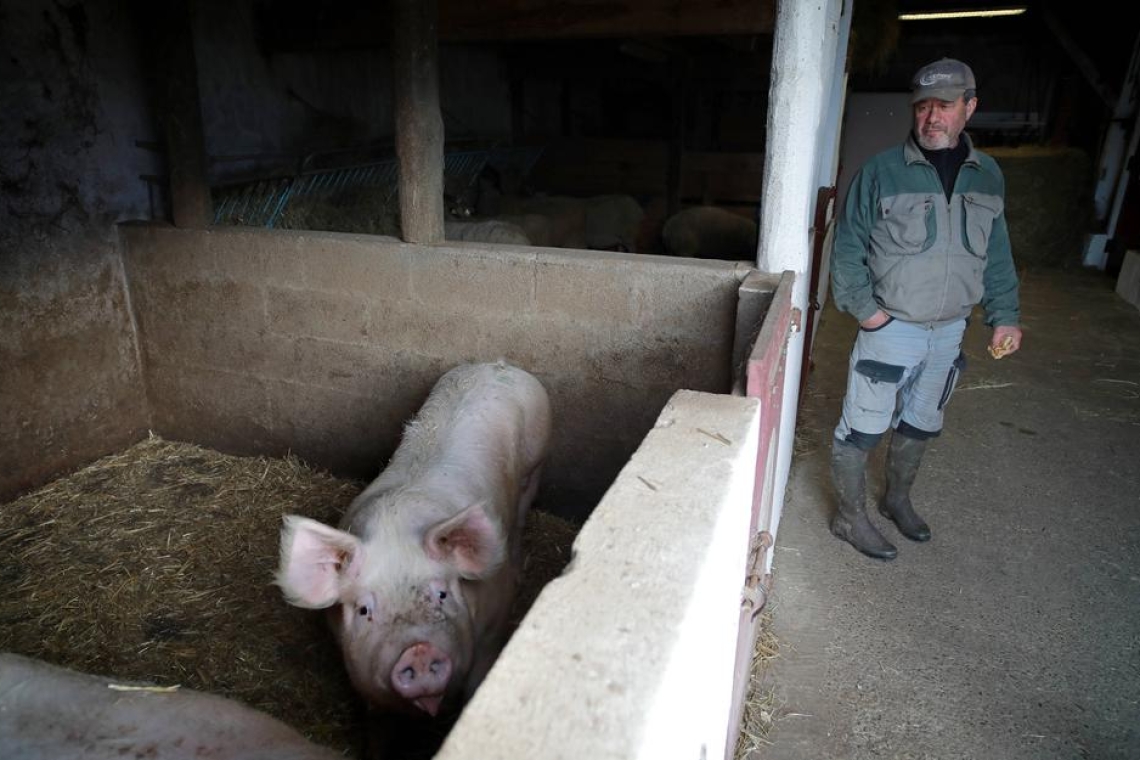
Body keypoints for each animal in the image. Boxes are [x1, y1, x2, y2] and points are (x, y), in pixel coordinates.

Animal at [271, 362, 547, 720]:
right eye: (364, 610)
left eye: (442, 594)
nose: (418, 651)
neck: (397, 527)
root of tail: (497, 364)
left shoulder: (494, 623)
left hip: (536, 462)